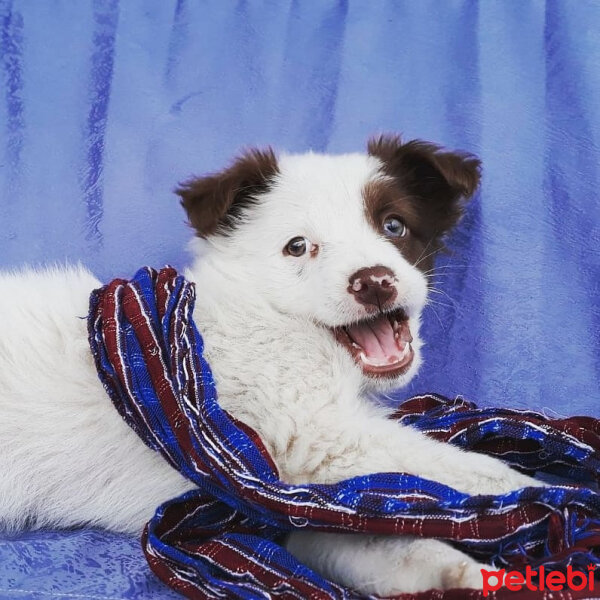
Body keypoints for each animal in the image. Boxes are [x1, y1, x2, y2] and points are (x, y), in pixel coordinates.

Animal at [0, 135, 536, 596]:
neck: (272, 315)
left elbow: (385, 544)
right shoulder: (318, 441)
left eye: (393, 226)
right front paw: (537, 498)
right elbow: (468, 470)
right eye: (297, 246)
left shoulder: (289, 508)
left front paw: (471, 574)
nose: (374, 282)